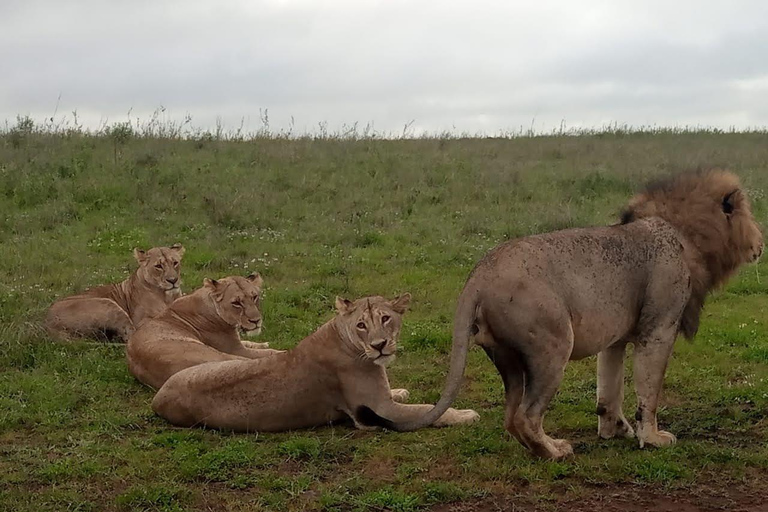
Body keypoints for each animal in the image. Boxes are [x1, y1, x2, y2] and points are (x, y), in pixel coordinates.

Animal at [45, 245, 186, 342]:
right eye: (158, 266)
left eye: (175, 263)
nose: (173, 280)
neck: (167, 296)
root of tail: (46, 324)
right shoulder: (140, 320)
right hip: (109, 304)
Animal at [126, 276, 282, 388]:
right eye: (236, 303)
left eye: (254, 297)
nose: (256, 321)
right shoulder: (235, 349)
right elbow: (266, 353)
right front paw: (277, 350)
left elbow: (251, 343)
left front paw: (264, 343)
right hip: (218, 354)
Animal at [150, 292, 480, 432]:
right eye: (362, 325)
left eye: (386, 319)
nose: (379, 345)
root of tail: (158, 398)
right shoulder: (378, 411)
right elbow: (429, 410)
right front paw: (467, 415)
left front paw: (400, 389)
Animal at [364, 169, 764, 460]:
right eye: (749, 216)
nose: (761, 243)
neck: (685, 233)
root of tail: (478, 275)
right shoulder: (659, 328)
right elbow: (648, 392)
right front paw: (651, 437)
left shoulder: (616, 337)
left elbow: (609, 389)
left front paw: (615, 430)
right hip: (553, 345)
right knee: (527, 415)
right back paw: (554, 452)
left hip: (507, 357)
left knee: (511, 415)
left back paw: (542, 448)